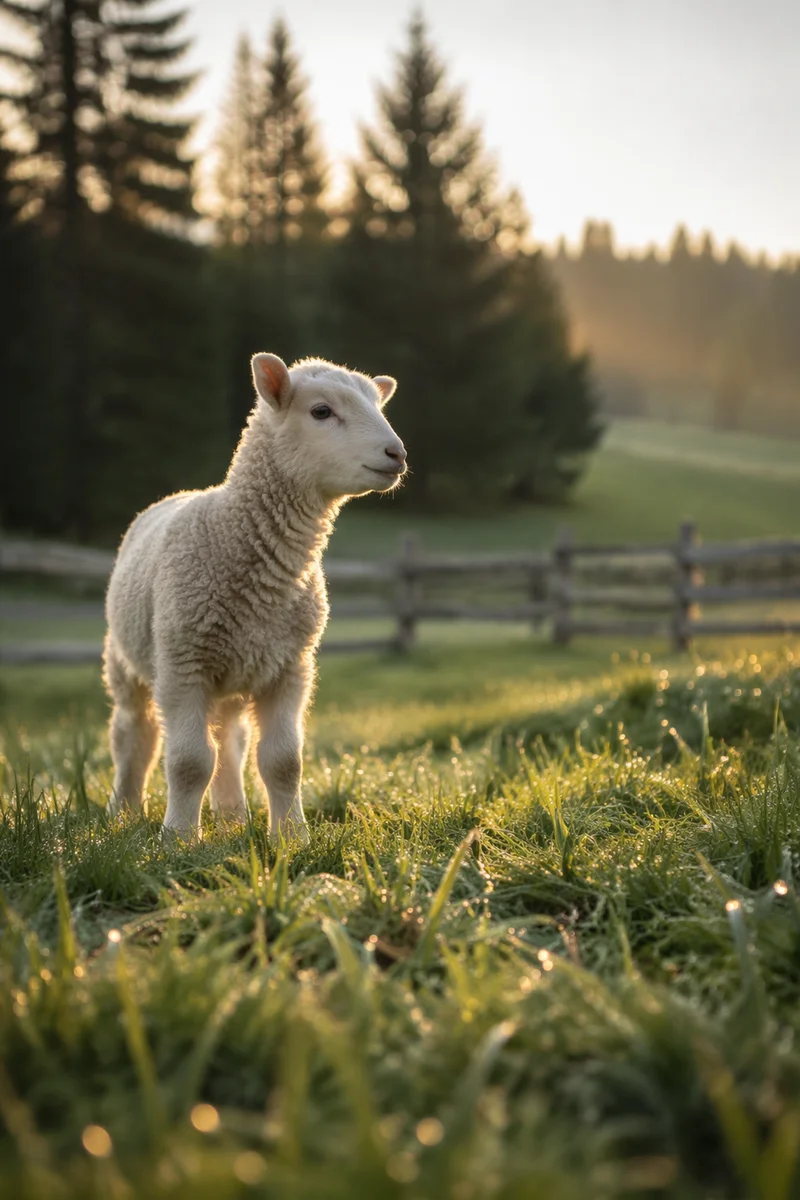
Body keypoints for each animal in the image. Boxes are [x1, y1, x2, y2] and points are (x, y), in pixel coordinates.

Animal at [103, 353, 406, 841]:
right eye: (321, 411)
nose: (396, 454)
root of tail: (180, 494)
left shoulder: (291, 666)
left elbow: (284, 762)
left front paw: (292, 837)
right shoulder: (183, 664)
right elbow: (188, 762)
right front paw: (178, 839)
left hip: (234, 669)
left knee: (229, 740)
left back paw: (231, 816)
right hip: (125, 661)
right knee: (135, 735)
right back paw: (123, 811)